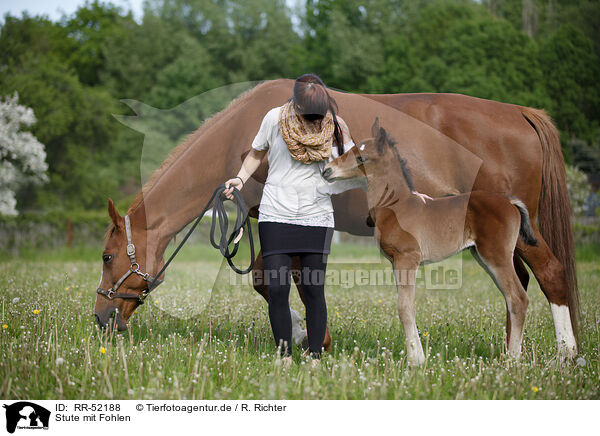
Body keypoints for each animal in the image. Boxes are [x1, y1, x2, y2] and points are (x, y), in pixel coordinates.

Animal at [324, 117, 540, 362]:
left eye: (362, 157)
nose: (327, 170)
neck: (396, 206)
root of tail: (510, 201)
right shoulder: (396, 262)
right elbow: (406, 305)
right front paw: (417, 355)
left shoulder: (408, 258)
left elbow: (405, 307)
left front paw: (416, 360)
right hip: (482, 256)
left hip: (496, 255)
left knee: (518, 299)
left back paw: (512, 359)